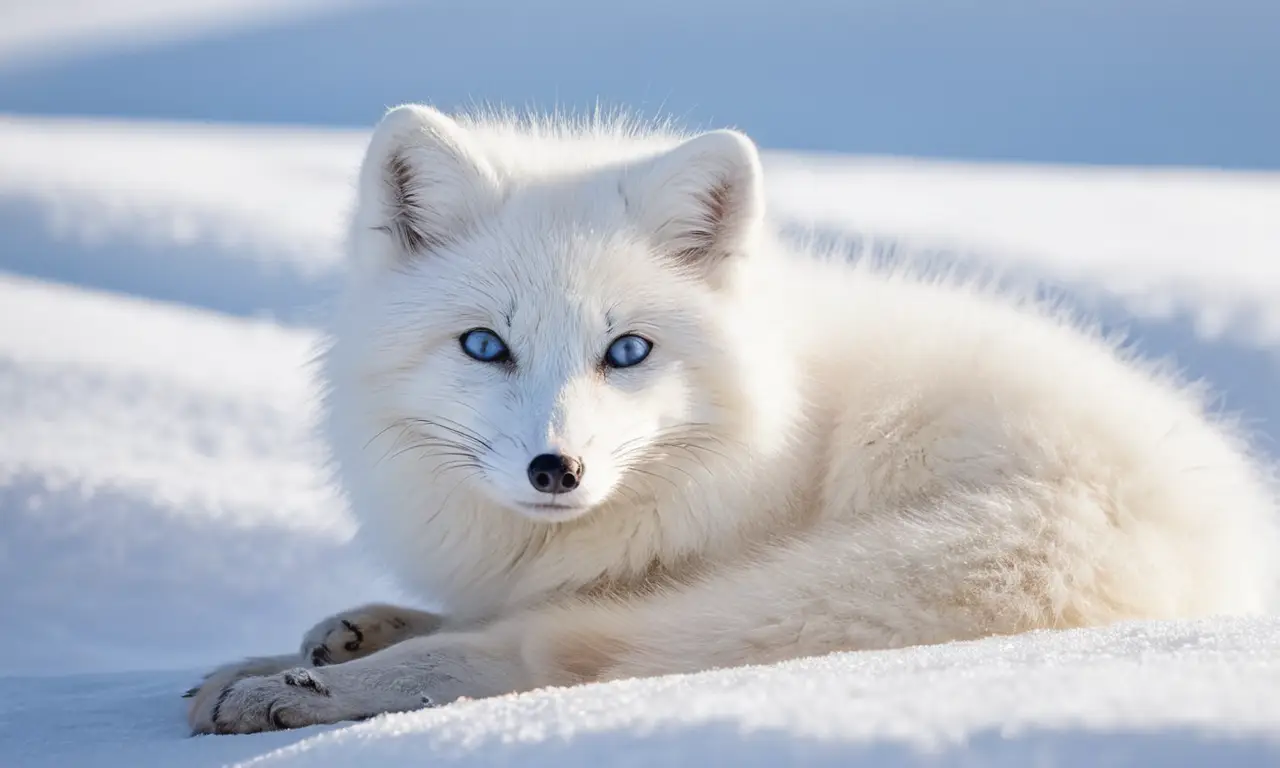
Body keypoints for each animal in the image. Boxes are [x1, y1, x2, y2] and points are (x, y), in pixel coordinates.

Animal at [187, 104, 1278, 735]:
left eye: (627, 351)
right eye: (484, 346)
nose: (555, 471)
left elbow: (527, 635)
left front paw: (309, 672)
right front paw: (336, 634)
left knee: (548, 651)